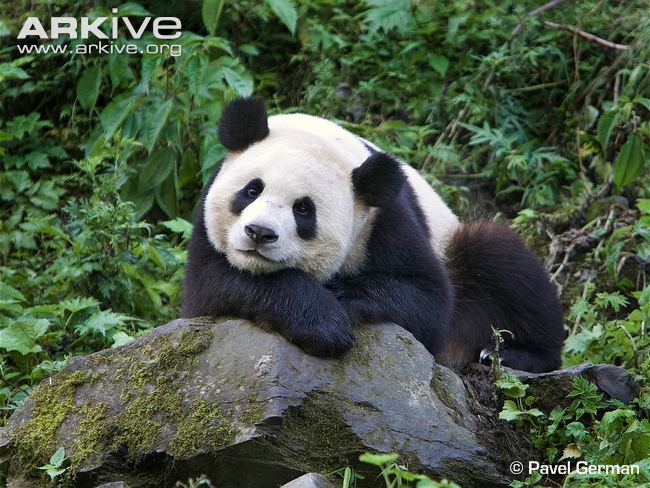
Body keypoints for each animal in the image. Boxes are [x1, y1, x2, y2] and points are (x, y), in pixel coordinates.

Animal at [182, 98, 565, 373]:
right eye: (252, 190)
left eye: (303, 210)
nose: (260, 233)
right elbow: (214, 284)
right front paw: (322, 322)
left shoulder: (383, 219)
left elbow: (427, 299)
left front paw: (339, 298)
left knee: (498, 258)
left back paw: (510, 354)